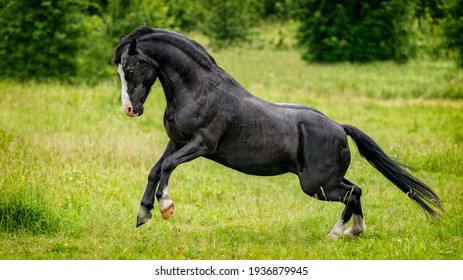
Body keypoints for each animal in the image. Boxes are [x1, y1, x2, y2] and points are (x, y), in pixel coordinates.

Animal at [111, 26, 442, 237]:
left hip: (316, 184)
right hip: (326, 178)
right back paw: (354, 232)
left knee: (351, 194)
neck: (199, 90)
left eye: (130, 70)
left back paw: (336, 234)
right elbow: (155, 170)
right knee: (357, 190)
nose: (130, 109)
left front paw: (166, 207)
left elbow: (167, 167)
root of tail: (339, 127)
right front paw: (143, 214)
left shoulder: (201, 145)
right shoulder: (176, 141)